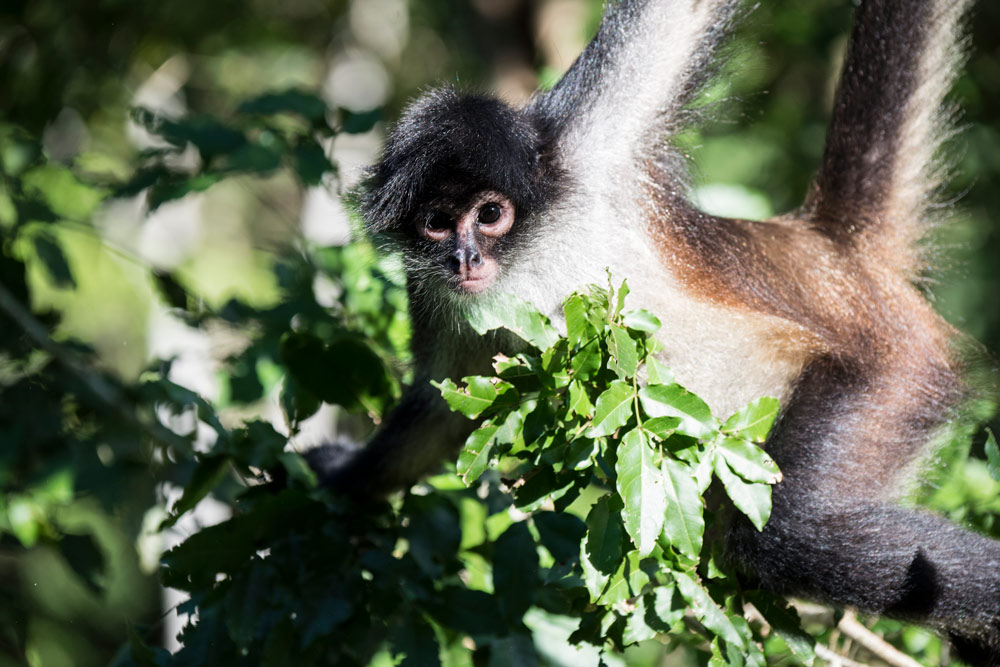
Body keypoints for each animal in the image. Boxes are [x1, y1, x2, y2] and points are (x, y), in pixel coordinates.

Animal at [304, 0, 1000, 664]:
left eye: (490, 214)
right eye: (438, 223)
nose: (465, 259)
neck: (531, 251)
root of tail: (837, 256)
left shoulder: (589, 140)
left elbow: (680, 11)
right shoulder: (435, 294)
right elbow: (436, 412)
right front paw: (333, 478)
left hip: (890, 371)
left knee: (790, 537)